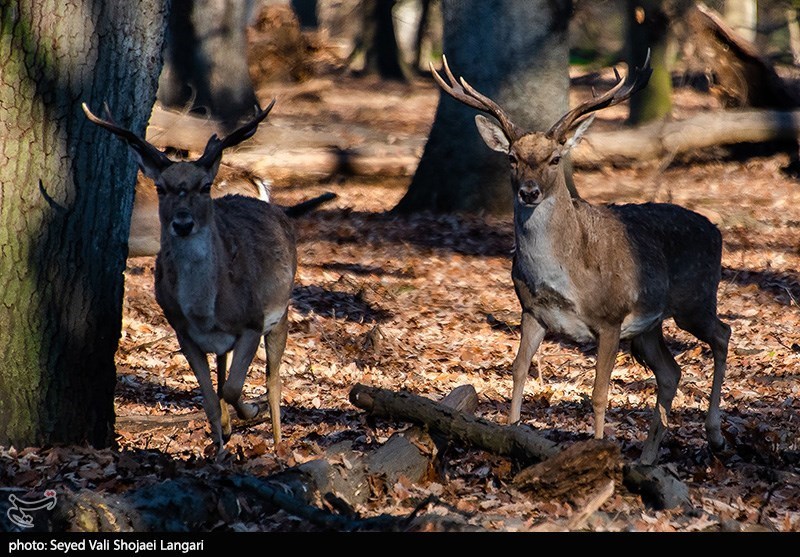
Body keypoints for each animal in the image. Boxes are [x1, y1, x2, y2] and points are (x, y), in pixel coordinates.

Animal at [83, 99, 300, 456]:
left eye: (204, 187)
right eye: (160, 187)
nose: (182, 223)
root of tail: (258, 183)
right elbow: (213, 395)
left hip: (278, 317)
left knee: (272, 379)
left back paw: (277, 443)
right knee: (226, 370)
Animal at [432, 55, 732, 464]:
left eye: (555, 159)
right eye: (512, 158)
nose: (529, 192)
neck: (564, 271)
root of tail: (717, 231)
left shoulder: (610, 317)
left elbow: (599, 394)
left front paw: (599, 451)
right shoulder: (532, 310)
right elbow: (518, 370)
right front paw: (510, 434)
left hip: (695, 298)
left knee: (722, 334)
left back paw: (714, 436)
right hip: (649, 327)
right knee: (671, 372)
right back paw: (647, 458)